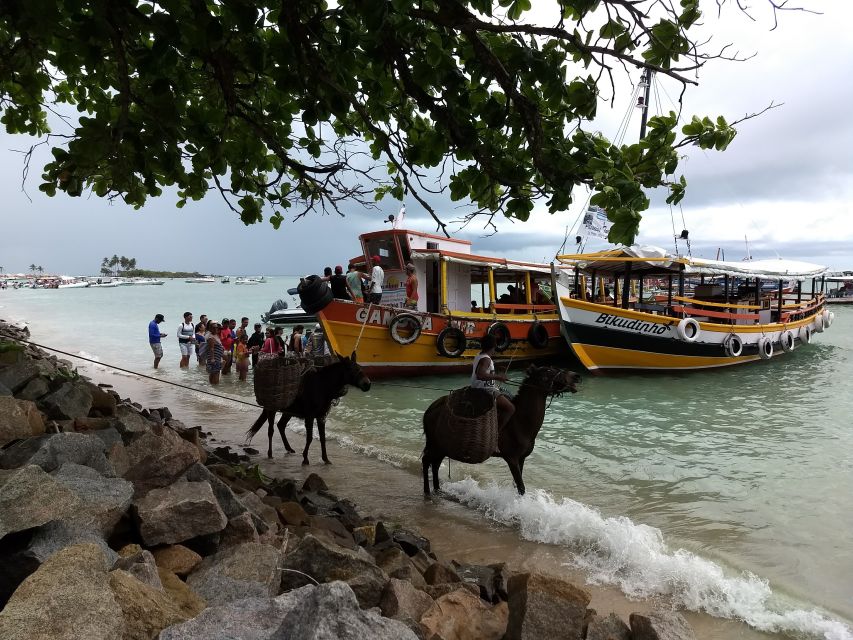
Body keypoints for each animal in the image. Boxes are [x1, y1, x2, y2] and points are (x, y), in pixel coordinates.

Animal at [422, 364, 580, 496]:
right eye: (548, 371)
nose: (576, 376)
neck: (520, 421)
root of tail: (432, 407)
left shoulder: (521, 458)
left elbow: (517, 485)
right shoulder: (511, 458)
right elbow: (521, 487)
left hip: (441, 446)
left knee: (435, 464)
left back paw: (437, 489)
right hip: (435, 444)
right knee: (426, 461)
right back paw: (428, 492)